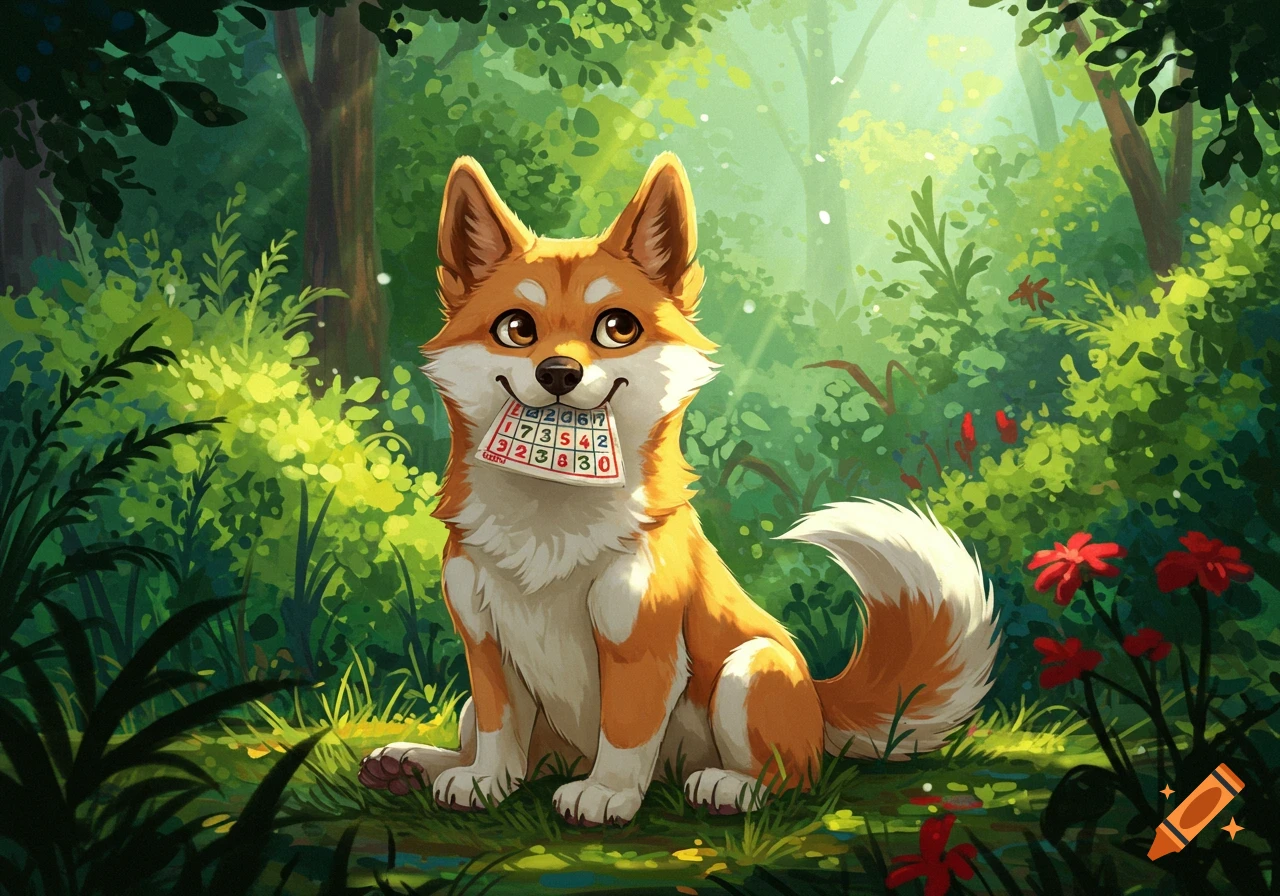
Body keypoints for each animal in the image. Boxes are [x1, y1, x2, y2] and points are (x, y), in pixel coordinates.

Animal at [357, 152, 1000, 825]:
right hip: (502, 717)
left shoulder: (640, 641)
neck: (550, 516)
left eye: (616, 328)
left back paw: (731, 787)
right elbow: (498, 731)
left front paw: (606, 794)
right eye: (516, 328)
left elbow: (626, 731)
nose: (559, 372)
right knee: (505, 749)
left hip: (751, 671)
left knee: (792, 778)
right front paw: (484, 782)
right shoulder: (485, 645)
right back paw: (412, 764)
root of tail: (821, 710)